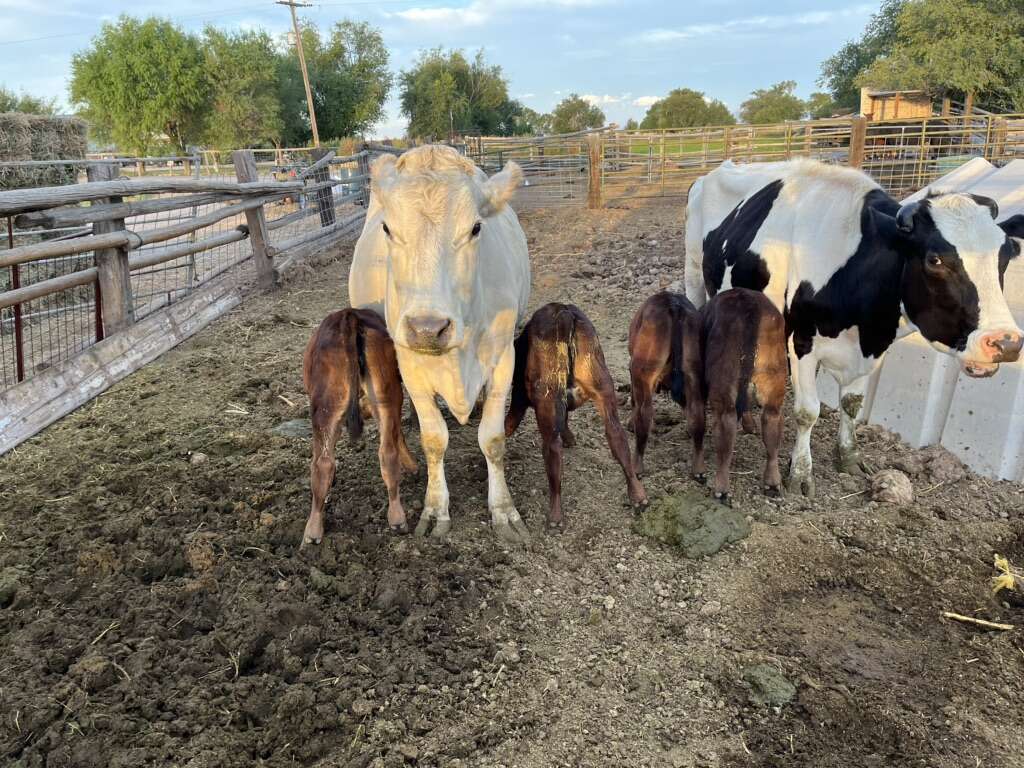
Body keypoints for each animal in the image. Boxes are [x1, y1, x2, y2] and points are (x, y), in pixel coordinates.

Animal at [348, 145, 532, 542]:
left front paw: (503, 509)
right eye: (388, 228)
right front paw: (435, 509)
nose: (427, 328)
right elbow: (434, 440)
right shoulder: (410, 365)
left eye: (475, 228)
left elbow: (493, 439)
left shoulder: (503, 358)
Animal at [504, 303, 648, 528]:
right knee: (617, 436)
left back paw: (555, 516)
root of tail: (563, 312)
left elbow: (506, 427)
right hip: (602, 387)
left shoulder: (519, 400)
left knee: (553, 449)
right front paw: (571, 438)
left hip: (548, 400)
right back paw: (637, 495)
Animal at [682, 288, 787, 503]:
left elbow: (697, 423)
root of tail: (749, 303)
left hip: (723, 387)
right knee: (772, 423)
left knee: (726, 425)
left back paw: (721, 489)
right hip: (774, 383)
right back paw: (772, 483)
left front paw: (698, 471)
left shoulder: (693, 378)